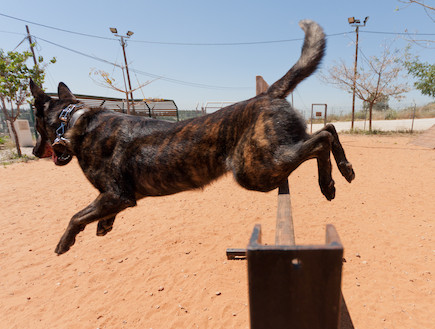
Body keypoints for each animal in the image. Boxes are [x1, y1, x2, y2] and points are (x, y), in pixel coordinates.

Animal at [32, 20, 356, 255]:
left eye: (37, 125)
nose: (35, 153)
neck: (76, 120)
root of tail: (266, 95)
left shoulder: (116, 195)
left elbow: (76, 216)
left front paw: (65, 242)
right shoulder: (113, 198)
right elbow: (93, 214)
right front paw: (103, 225)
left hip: (255, 171)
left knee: (320, 140)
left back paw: (327, 184)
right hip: (273, 156)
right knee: (329, 129)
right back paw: (345, 169)